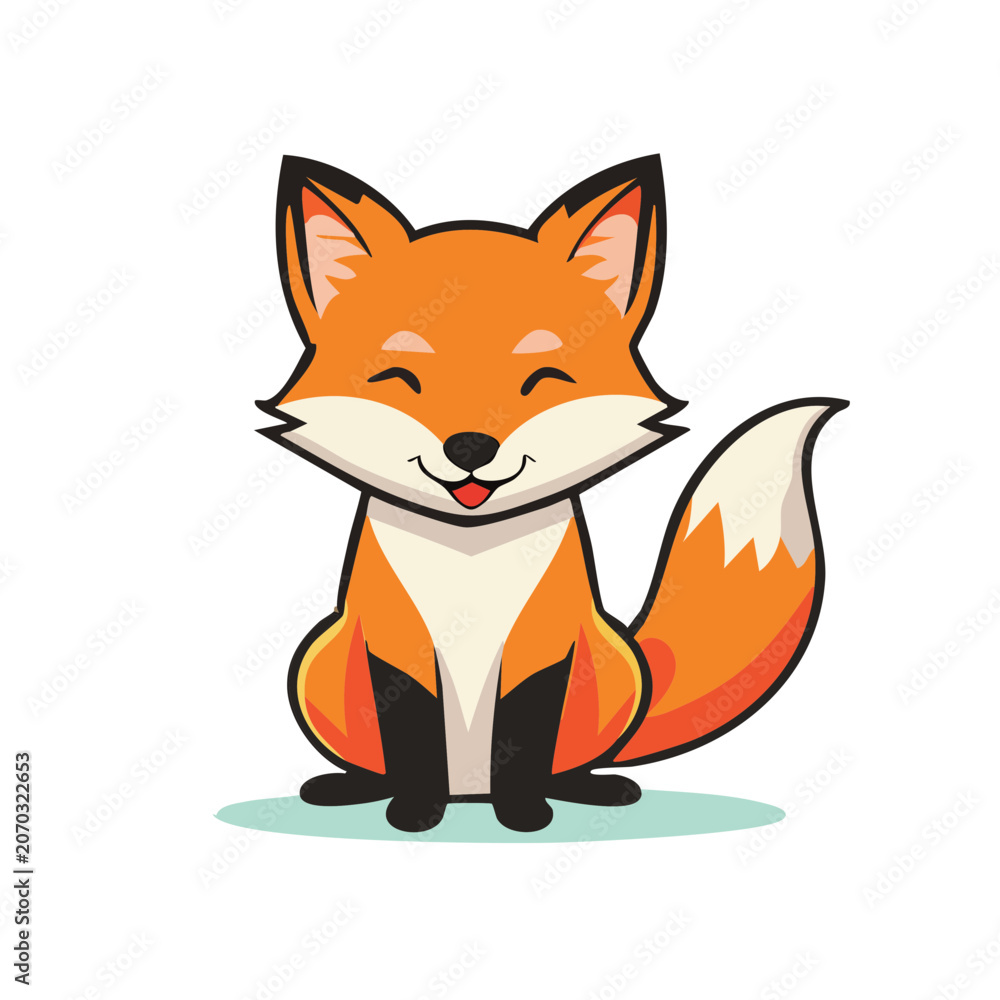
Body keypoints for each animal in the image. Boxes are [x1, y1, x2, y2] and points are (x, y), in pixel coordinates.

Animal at [258, 153, 847, 833]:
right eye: (401, 380)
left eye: (540, 381)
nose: (469, 447)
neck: (471, 565)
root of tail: (469, 793)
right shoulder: (396, 648)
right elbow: (412, 740)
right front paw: (415, 812)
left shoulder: (545, 646)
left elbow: (524, 735)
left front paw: (522, 815)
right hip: (320, 665)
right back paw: (350, 787)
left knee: (568, 764)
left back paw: (590, 788)